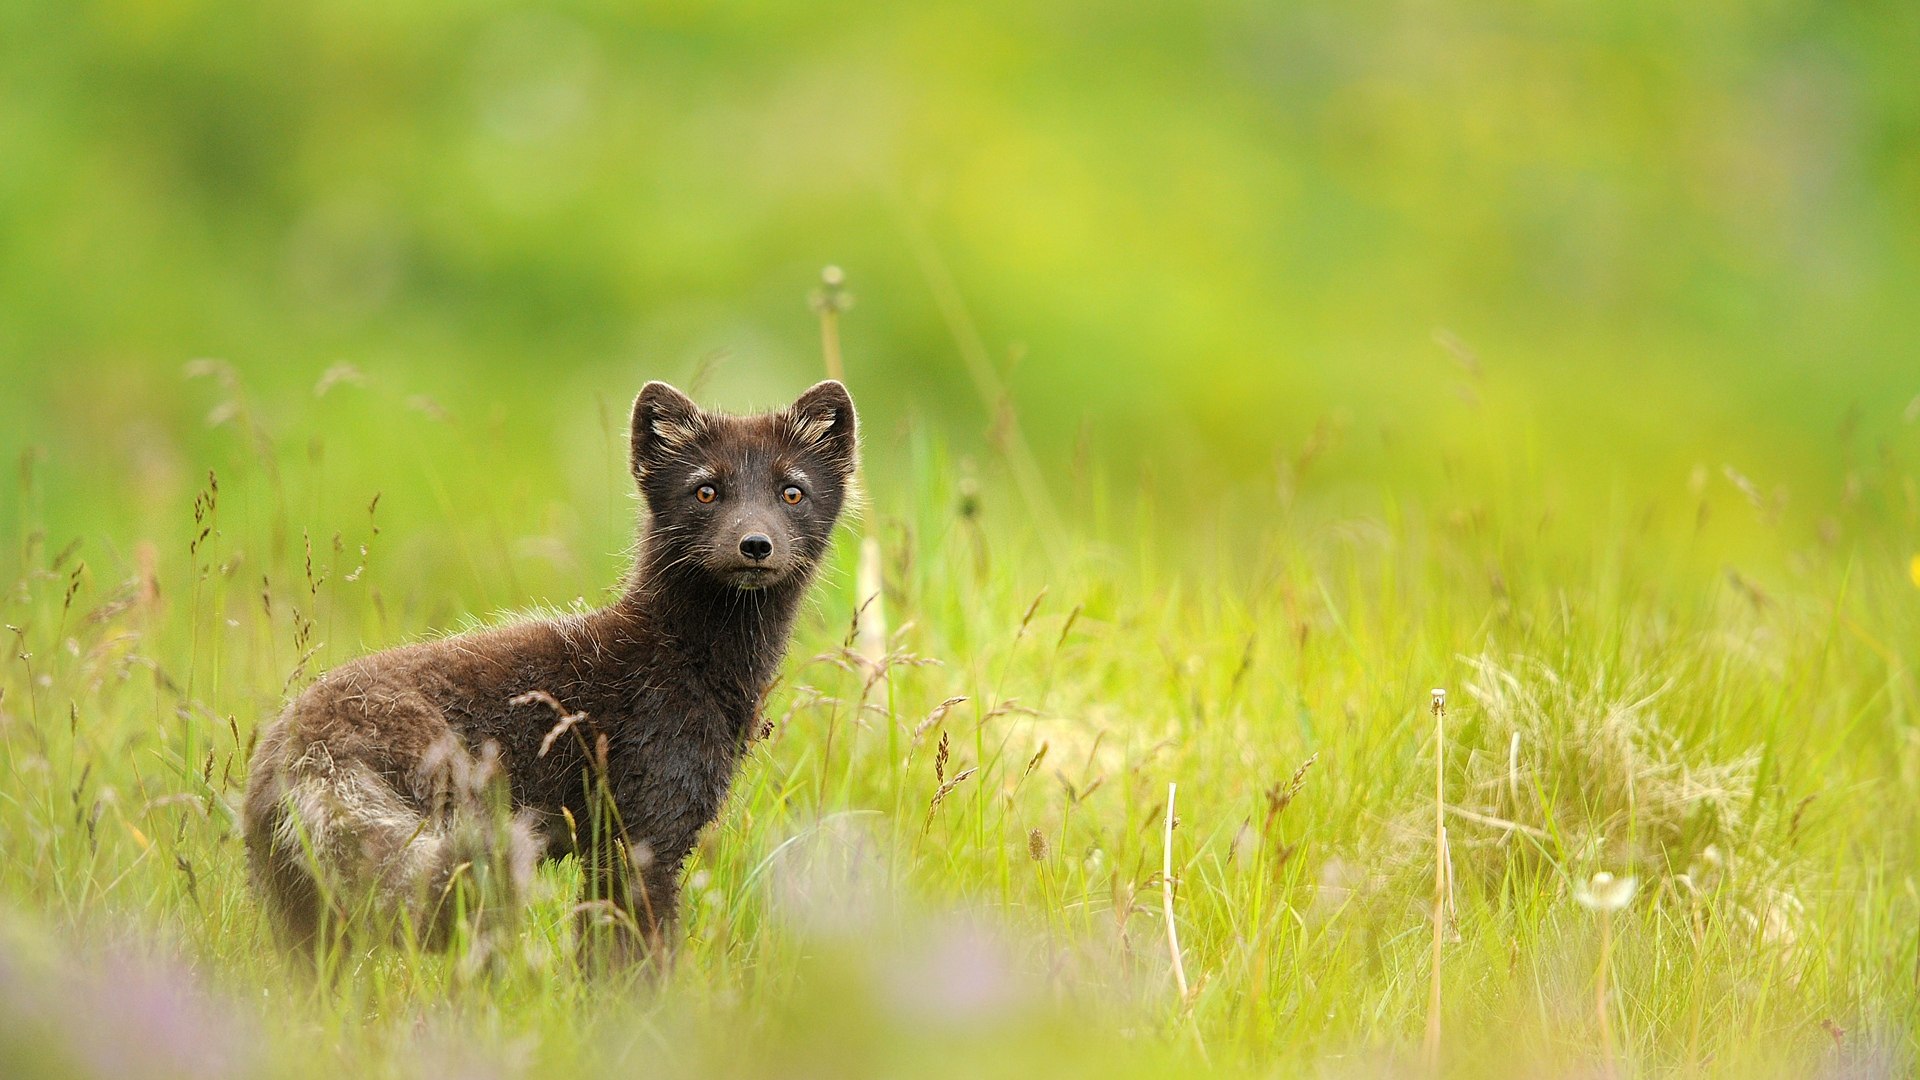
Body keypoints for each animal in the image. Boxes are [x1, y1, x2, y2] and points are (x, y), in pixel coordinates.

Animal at [243, 380, 860, 957]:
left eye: (792, 491)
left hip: (299, 907)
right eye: (705, 490)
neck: (685, 660)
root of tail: (304, 749)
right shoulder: (641, 827)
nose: (755, 544)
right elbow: (632, 959)